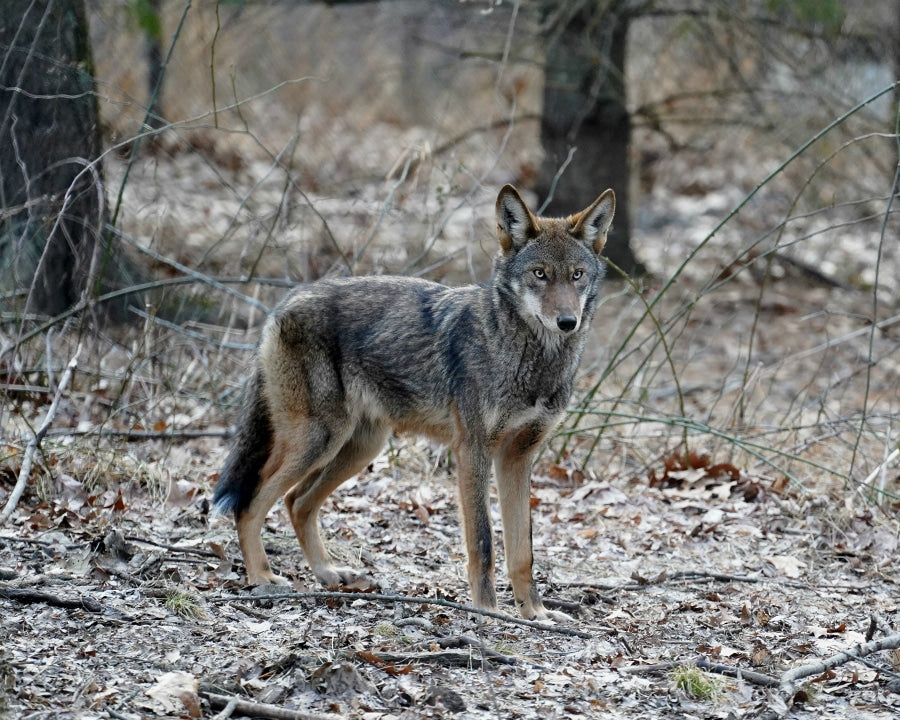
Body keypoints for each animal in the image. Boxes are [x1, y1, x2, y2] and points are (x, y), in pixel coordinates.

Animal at [213, 184, 615, 621]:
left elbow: (522, 552)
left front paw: (536, 614)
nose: (567, 322)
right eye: (539, 274)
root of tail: (285, 301)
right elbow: (484, 543)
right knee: (251, 503)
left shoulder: (518, 457)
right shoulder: (472, 451)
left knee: (297, 502)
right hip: (318, 440)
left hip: (357, 448)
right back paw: (261, 578)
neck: (530, 358)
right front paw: (487, 611)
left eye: (576, 276)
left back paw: (328, 574)